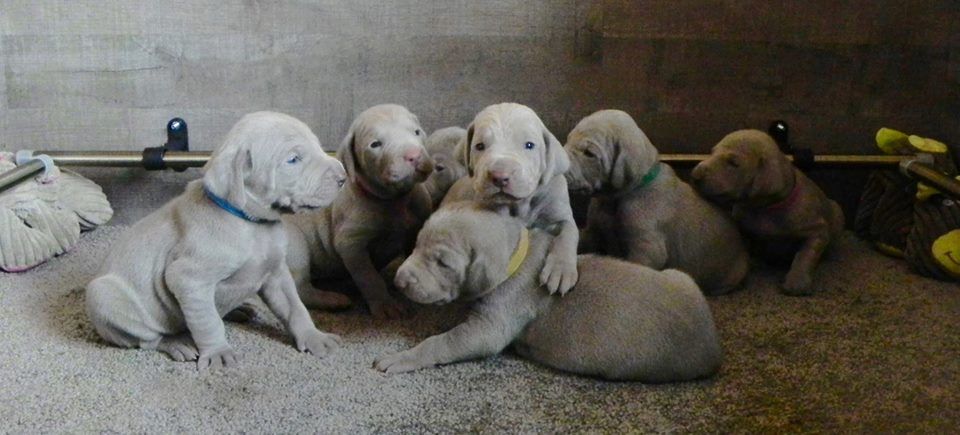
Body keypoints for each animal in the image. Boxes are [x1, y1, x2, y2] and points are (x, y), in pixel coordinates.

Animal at [83, 112, 344, 372]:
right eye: (293, 159)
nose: (342, 177)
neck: (251, 224)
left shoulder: (276, 273)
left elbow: (295, 307)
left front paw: (313, 337)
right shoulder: (189, 280)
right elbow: (207, 322)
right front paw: (218, 353)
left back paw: (238, 309)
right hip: (104, 296)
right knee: (148, 339)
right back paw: (177, 342)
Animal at [284, 104, 436, 318]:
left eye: (416, 132)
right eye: (375, 144)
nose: (413, 155)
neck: (394, 199)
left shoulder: (415, 228)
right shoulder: (351, 244)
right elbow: (369, 277)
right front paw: (385, 305)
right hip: (296, 246)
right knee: (298, 289)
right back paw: (333, 300)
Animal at [378, 203, 724, 384]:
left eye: (443, 263)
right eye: (417, 245)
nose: (399, 280)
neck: (516, 257)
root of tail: (712, 344)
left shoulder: (492, 324)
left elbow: (445, 342)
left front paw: (404, 356)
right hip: (681, 277)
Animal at [442, 102, 576, 294]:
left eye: (529, 145)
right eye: (480, 146)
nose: (499, 176)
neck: (521, 205)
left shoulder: (559, 210)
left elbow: (568, 233)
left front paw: (561, 270)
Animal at [688, 129, 840, 296]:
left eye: (733, 163)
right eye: (712, 152)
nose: (694, 175)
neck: (766, 208)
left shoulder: (817, 229)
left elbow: (806, 254)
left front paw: (797, 281)